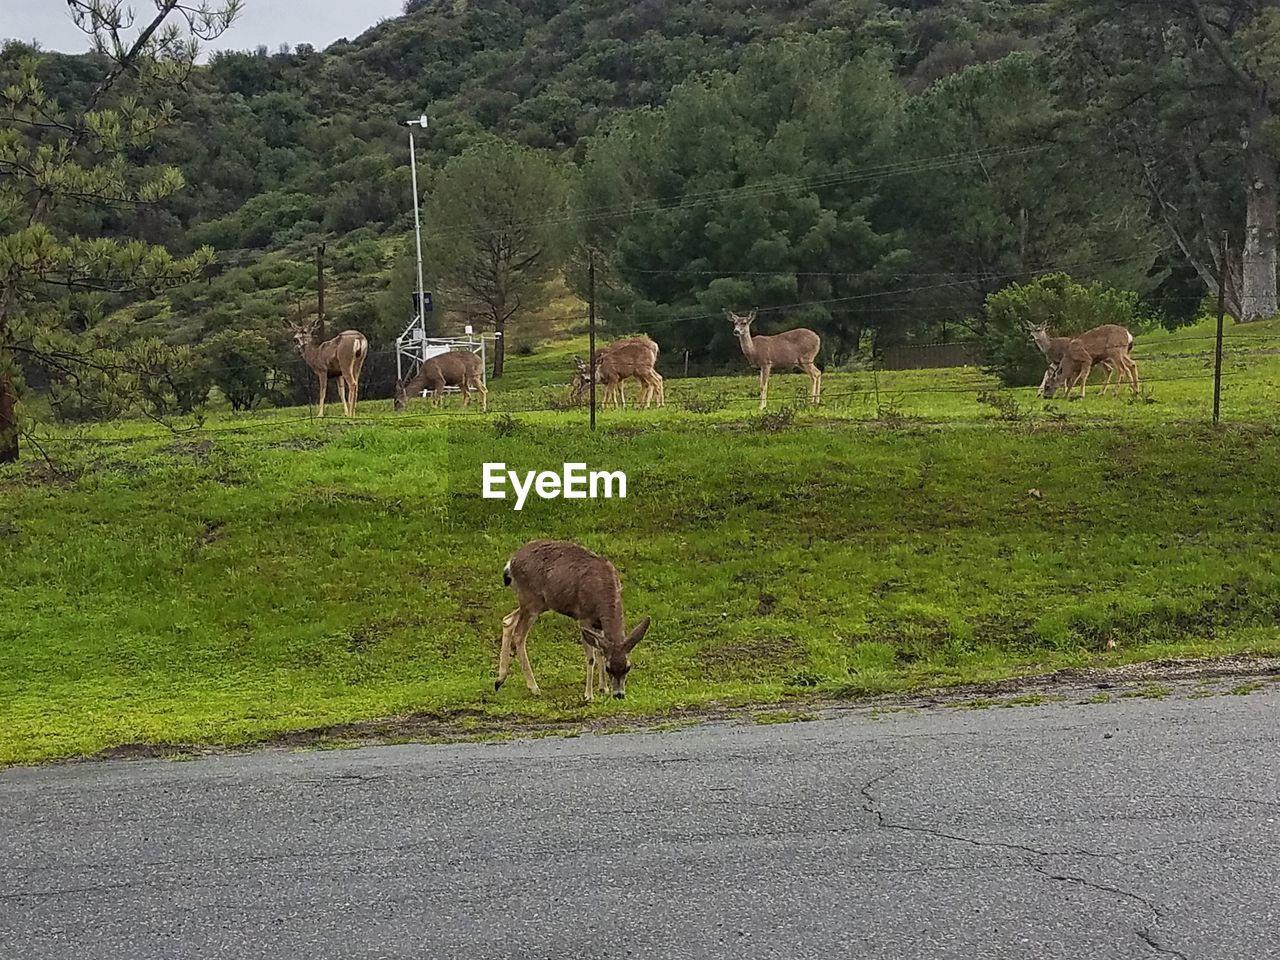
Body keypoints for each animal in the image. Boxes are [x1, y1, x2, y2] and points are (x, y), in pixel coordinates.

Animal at [491, 537, 650, 701]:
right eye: (609, 668)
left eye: (628, 667)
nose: (619, 695)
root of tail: (510, 563)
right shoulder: (584, 617)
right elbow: (591, 657)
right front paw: (588, 695)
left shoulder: (597, 624)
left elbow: (600, 651)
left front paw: (603, 688)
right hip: (530, 599)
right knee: (519, 634)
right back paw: (534, 688)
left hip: (539, 603)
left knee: (508, 620)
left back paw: (499, 680)